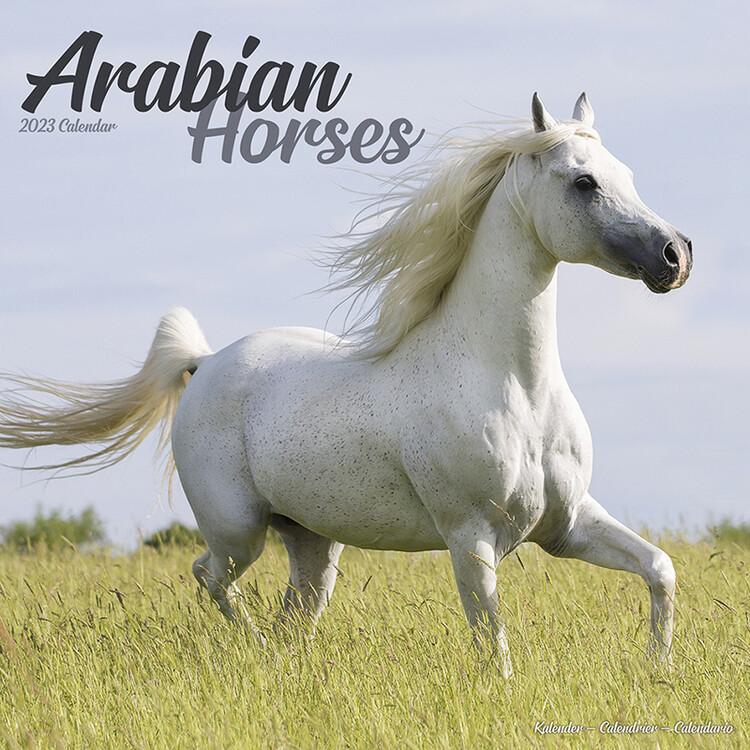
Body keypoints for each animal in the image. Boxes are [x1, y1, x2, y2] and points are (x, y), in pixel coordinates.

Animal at [0, 93, 692, 678]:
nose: (676, 255)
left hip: (310, 540)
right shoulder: (470, 538)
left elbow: (659, 569)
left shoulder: (567, 526)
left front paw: (657, 671)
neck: (514, 386)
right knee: (211, 577)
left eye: (626, 172)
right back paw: (256, 651)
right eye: (583, 182)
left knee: (293, 610)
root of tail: (206, 361)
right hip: (237, 528)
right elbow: (492, 640)